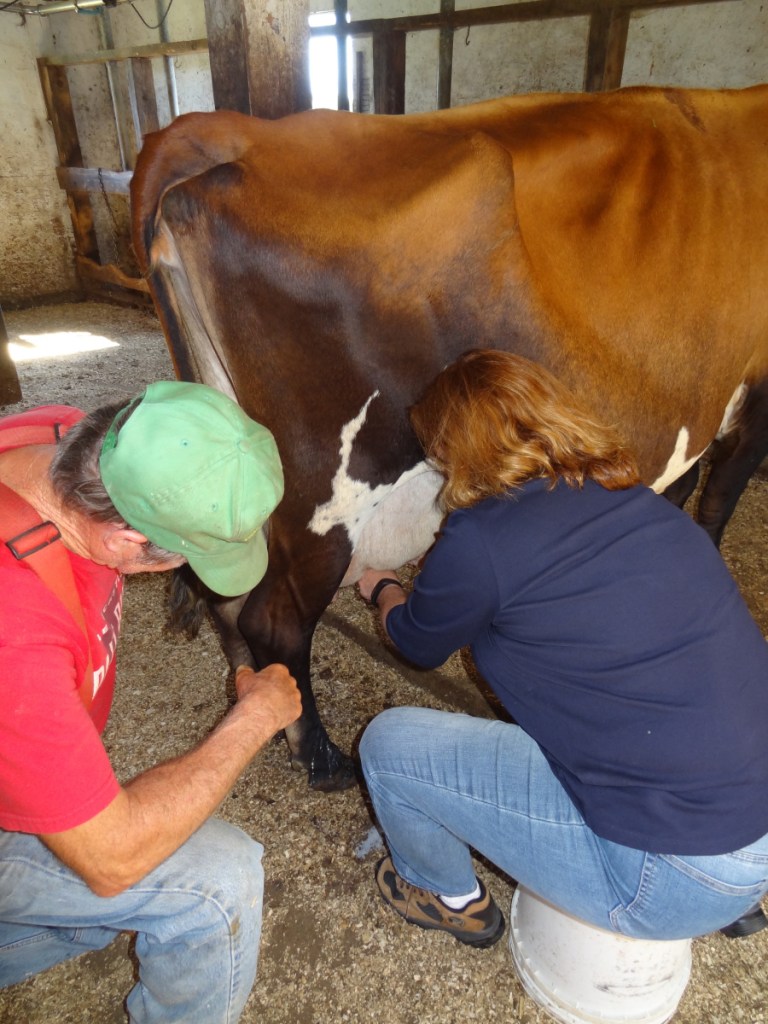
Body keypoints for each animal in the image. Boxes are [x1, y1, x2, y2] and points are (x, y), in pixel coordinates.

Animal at [132, 88, 768, 790]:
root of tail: (230, 132)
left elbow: (682, 487)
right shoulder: (758, 387)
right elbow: (716, 500)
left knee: (228, 598)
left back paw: (253, 707)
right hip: (325, 494)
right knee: (275, 619)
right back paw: (323, 759)